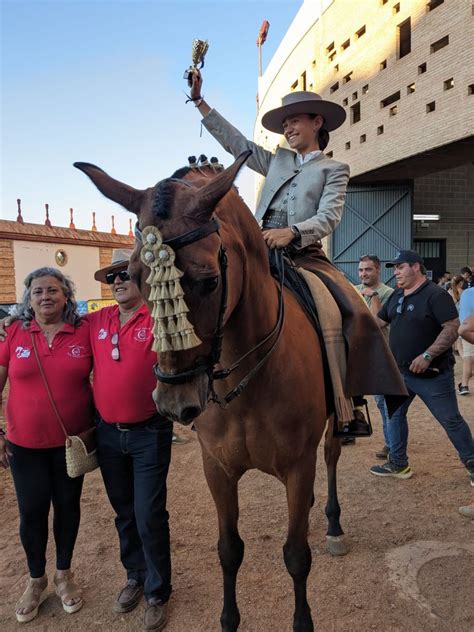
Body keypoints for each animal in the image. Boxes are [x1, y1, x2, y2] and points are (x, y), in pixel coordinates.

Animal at [75, 153, 348, 632]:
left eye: (209, 281)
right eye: (135, 277)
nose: (173, 403)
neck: (249, 378)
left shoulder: (298, 466)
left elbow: (296, 556)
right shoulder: (217, 469)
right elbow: (229, 550)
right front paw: (228, 619)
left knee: (331, 455)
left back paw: (332, 524)